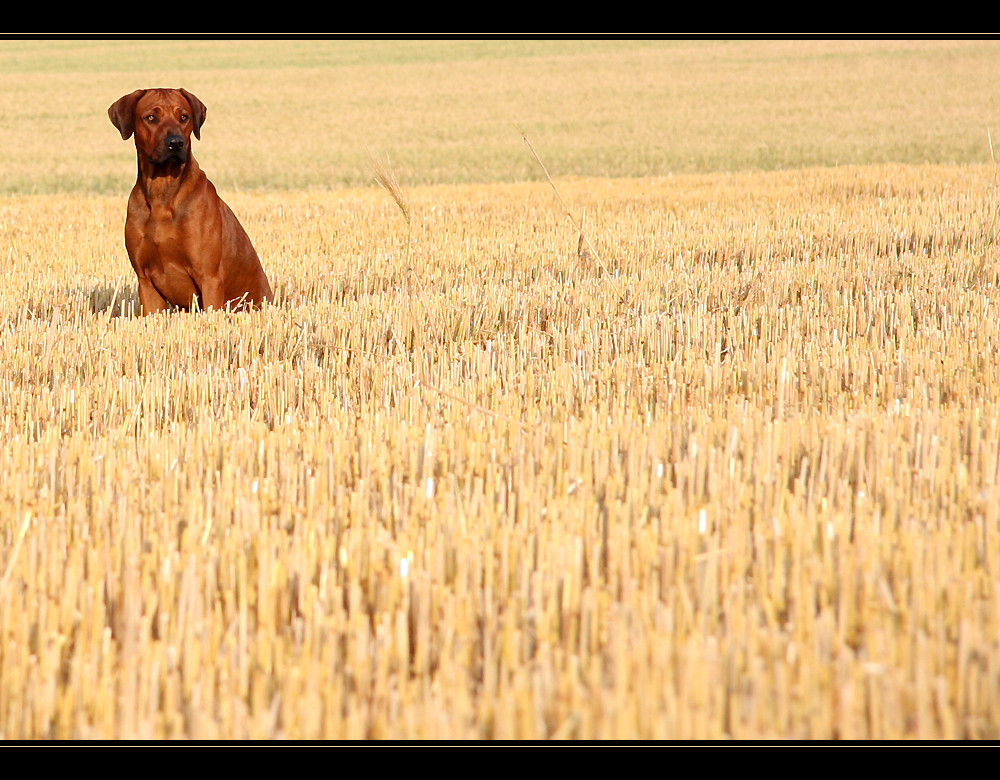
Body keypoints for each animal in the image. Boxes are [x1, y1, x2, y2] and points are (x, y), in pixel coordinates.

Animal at [108, 88, 274, 314]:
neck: (162, 193)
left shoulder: (210, 278)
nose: (176, 143)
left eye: (183, 117)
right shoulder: (146, 282)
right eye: (151, 117)